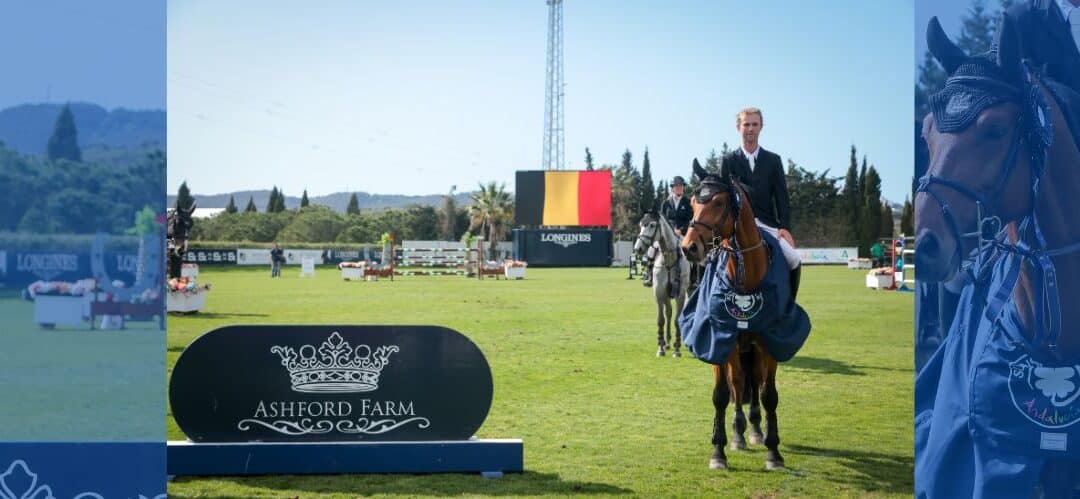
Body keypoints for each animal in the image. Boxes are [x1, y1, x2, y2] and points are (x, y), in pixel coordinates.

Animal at [630, 212, 691, 356]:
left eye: (652, 225)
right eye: (641, 225)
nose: (638, 249)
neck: (669, 261)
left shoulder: (680, 294)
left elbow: (677, 319)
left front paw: (677, 349)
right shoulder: (659, 292)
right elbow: (661, 319)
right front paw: (660, 348)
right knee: (668, 312)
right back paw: (667, 343)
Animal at [682, 160, 786, 470]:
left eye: (719, 202)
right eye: (692, 203)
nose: (689, 247)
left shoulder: (771, 342)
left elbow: (768, 395)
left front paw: (774, 453)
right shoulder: (719, 340)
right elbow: (721, 395)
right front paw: (718, 452)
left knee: (754, 382)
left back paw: (755, 430)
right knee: (739, 383)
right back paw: (739, 433)